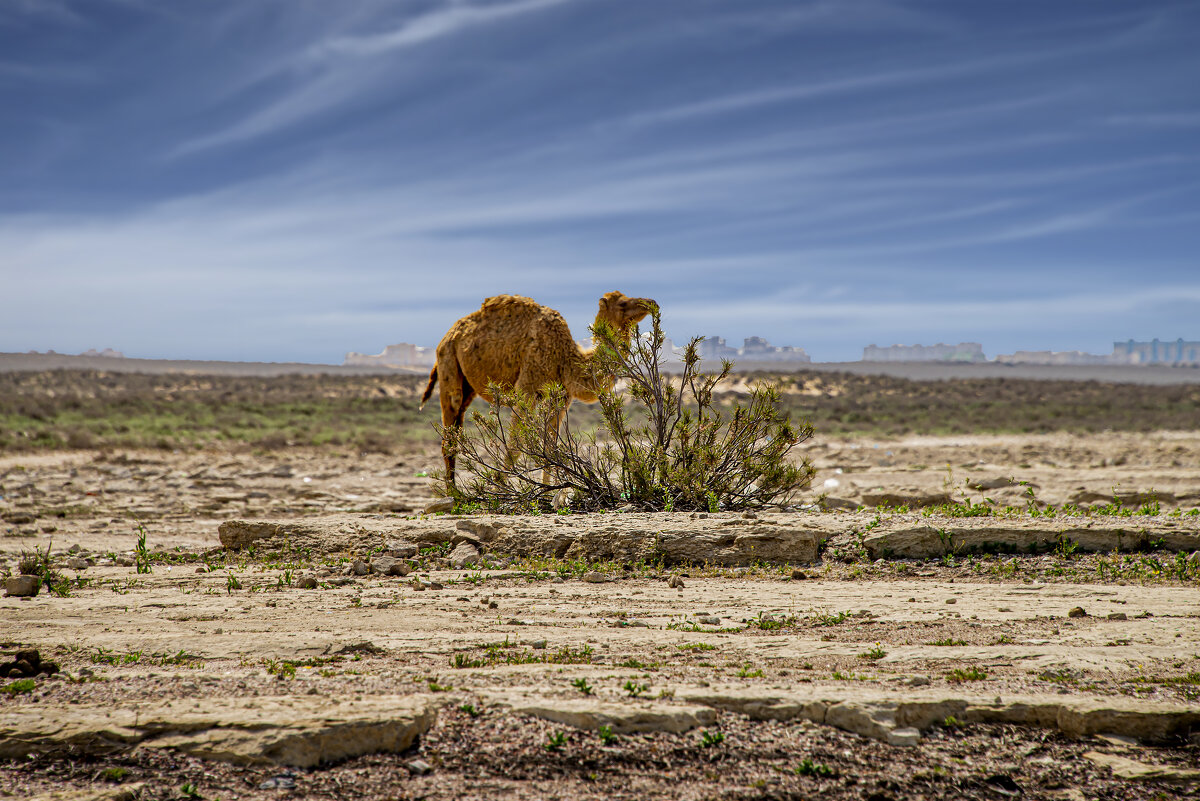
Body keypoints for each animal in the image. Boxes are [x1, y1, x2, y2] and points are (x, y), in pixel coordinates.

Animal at [420, 288, 657, 489]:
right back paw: (455, 496)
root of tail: (447, 336)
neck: (566, 357)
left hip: (467, 383)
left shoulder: (560, 398)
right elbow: (515, 444)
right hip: (448, 362)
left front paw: (550, 493)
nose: (651, 303)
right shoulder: (526, 388)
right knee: (449, 429)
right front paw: (501, 488)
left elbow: (550, 446)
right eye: (623, 303)